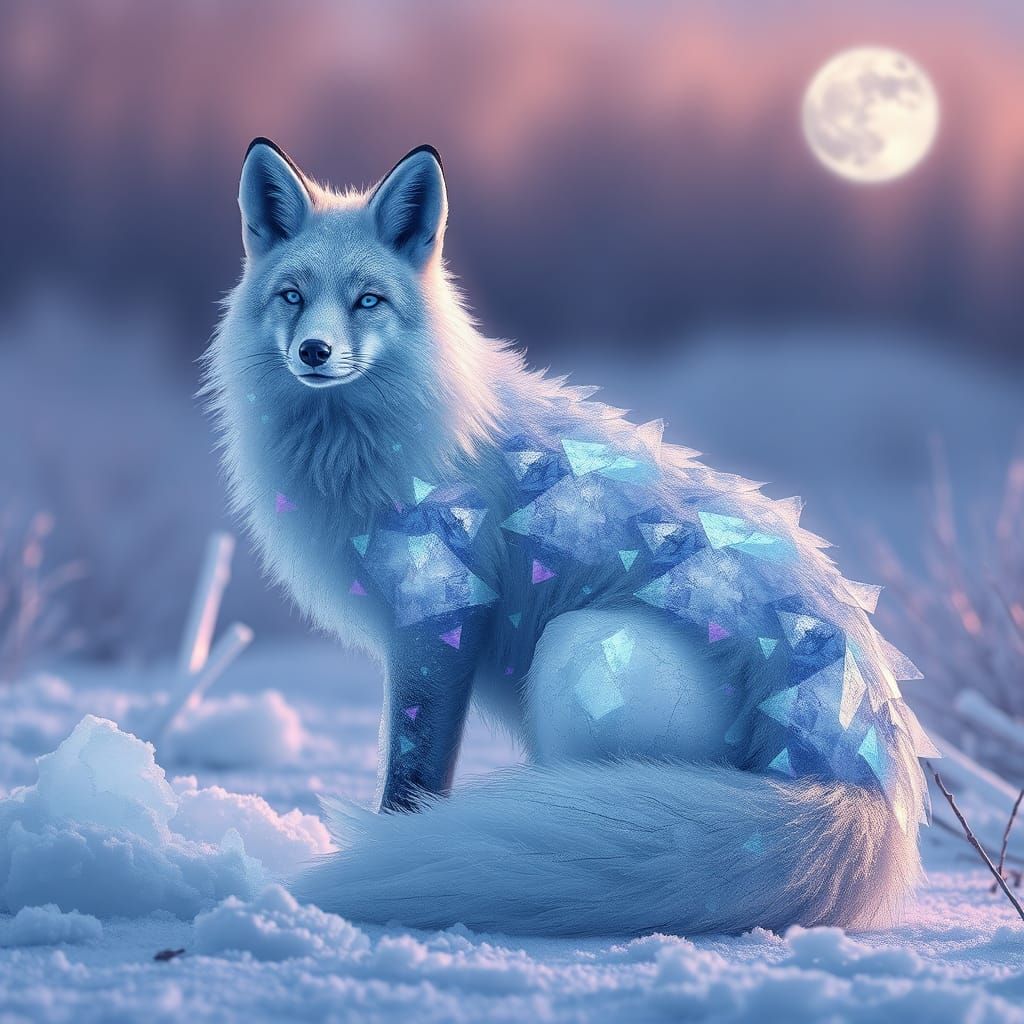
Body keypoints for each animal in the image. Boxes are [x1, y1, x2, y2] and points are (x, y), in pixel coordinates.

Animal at [203, 138, 936, 937]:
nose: (313, 351)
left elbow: (413, 772)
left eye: (369, 299)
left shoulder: (445, 612)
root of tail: (863, 765)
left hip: (574, 647)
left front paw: (392, 839)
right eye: (292, 296)